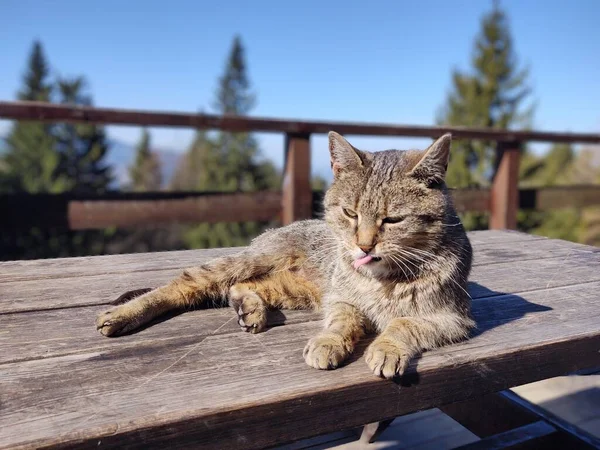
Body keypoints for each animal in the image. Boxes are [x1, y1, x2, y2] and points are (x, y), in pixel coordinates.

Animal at [97, 132, 474, 378]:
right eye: (350, 213)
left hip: (293, 290)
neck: (383, 278)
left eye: (392, 220)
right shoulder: (340, 299)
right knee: (184, 282)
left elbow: (403, 323)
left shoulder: (452, 319)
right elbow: (344, 321)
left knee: (242, 286)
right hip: (252, 262)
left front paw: (387, 347)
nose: (364, 245)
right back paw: (121, 315)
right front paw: (329, 342)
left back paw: (251, 309)